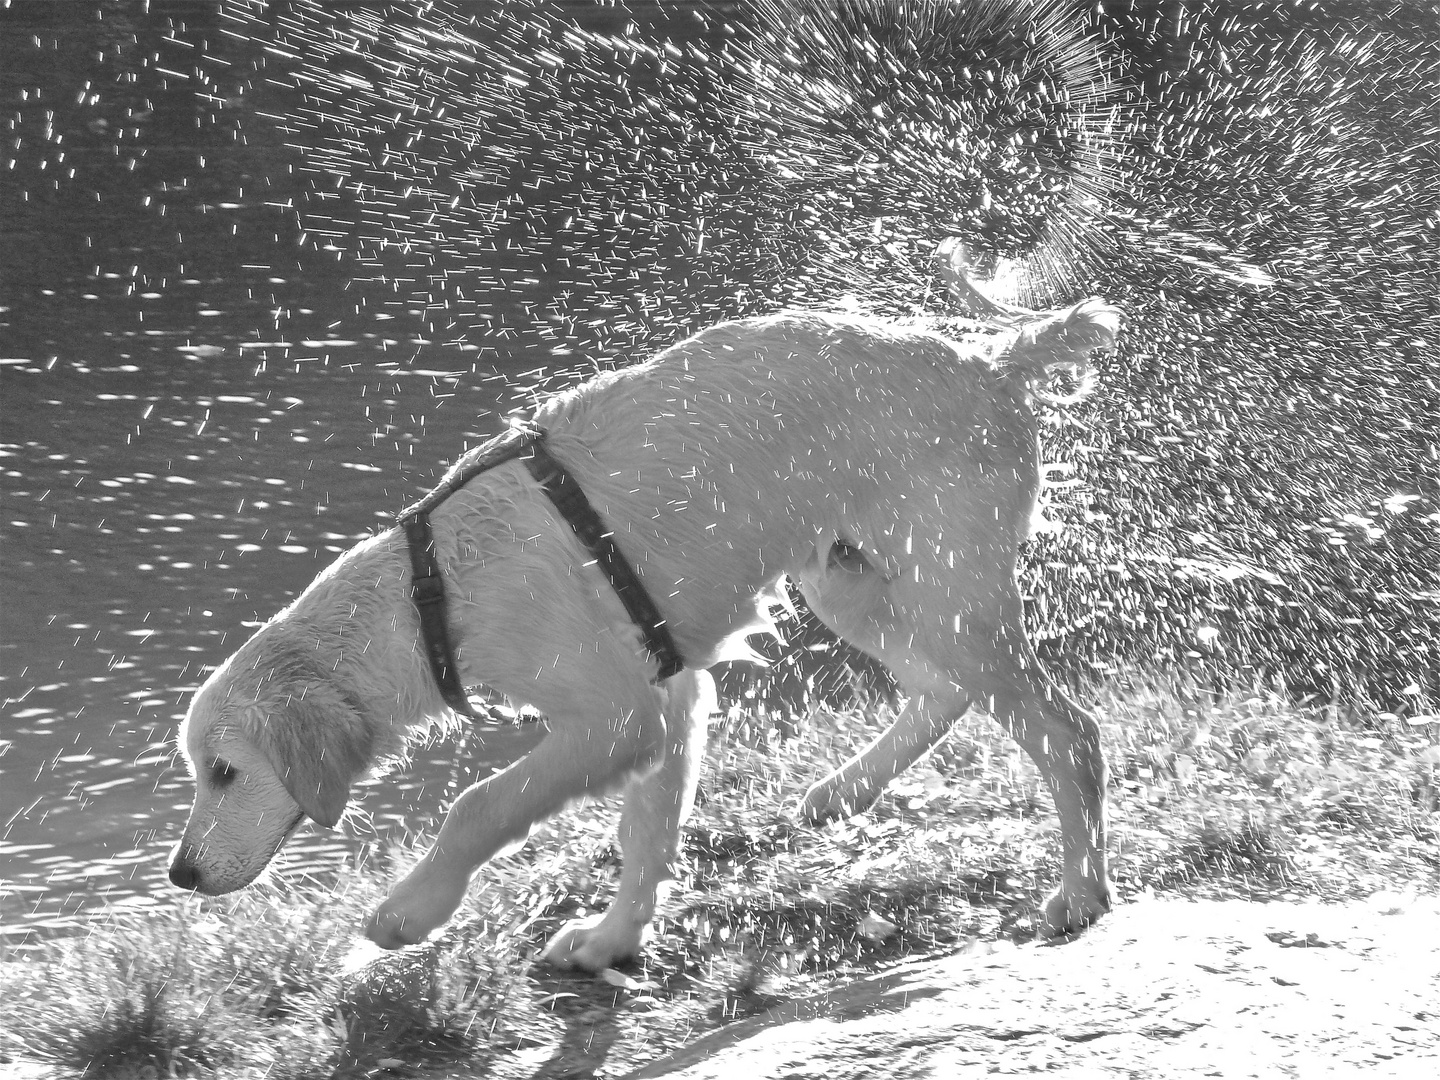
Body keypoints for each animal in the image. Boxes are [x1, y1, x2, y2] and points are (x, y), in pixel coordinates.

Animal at [165, 289, 1111, 973]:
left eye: (224, 772)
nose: (181, 874)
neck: (430, 590)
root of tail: (992, 360)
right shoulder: (675, 694)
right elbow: (646, 834)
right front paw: (612, 941)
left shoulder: (619, 716)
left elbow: (479, 805)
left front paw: (407, 913)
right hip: (853, 583)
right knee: (947, 693)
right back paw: (845, 788)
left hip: (943, 587)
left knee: (1068, 733)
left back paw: (1081, 894)